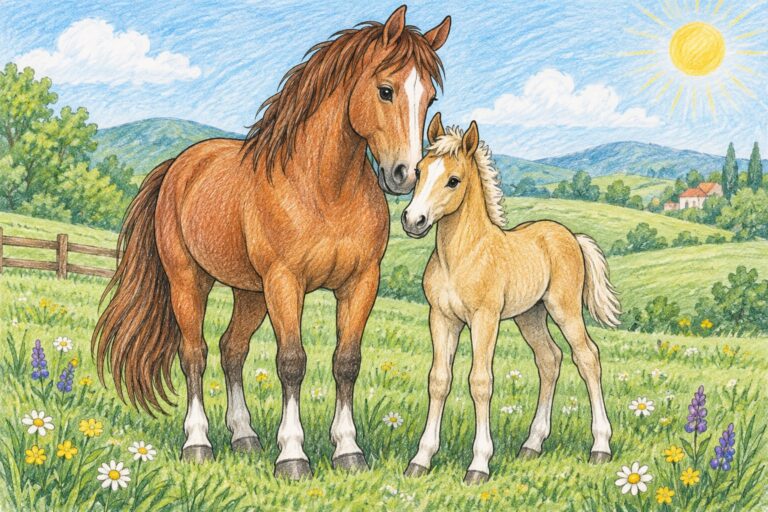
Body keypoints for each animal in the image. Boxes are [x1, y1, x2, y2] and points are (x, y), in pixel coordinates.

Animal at [91, 6, 451, 480]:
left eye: (429, 99)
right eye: (386, 90)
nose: (404, 175)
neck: (324, 190)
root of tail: (179, 165)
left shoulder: (360, 283)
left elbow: (347, 362)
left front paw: (348, 450)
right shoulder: (285, 282)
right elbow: (292, 362)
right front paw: (293, 456)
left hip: (250, 293)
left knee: (232, 350)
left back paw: (244, 437)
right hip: (190, 281)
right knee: (195, 354)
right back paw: (198, 442)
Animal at [400, 114, 620, 484]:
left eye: (453, 180)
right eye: (419, 170)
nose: (413, 220)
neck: (462, 255)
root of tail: (569, 235)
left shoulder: (484, 319)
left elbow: (480, 381)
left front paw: (479, 465)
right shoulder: (442, 318)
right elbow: (439, 380)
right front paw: (420, 460)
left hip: (564, 309)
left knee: (587, 357)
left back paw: (600, 447)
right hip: (530, 316)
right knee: (550, 359)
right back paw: (532, 444)